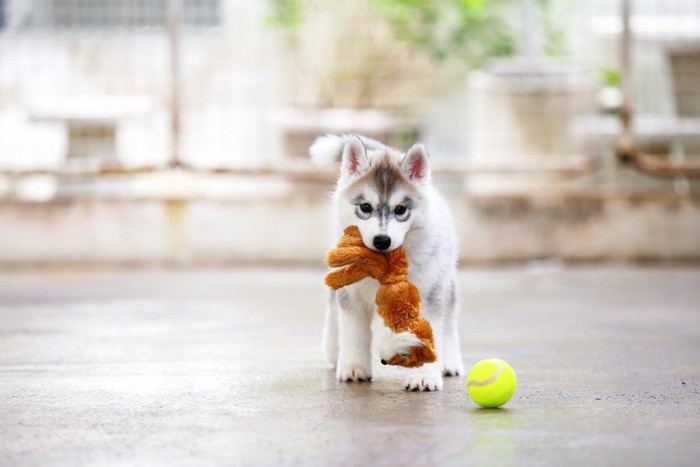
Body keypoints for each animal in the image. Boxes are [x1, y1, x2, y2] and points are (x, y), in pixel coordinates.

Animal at [312, 133, 464, 390]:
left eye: (401, 209)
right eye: (365, 207)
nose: (381, 240)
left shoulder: (426, 295)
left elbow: (429, 333)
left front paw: (423, 375)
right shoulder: (352, 295)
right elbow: (353, 333)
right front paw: (354, 367)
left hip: (444, 282)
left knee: (450, 321)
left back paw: (450, 361)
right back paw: (334, 350)